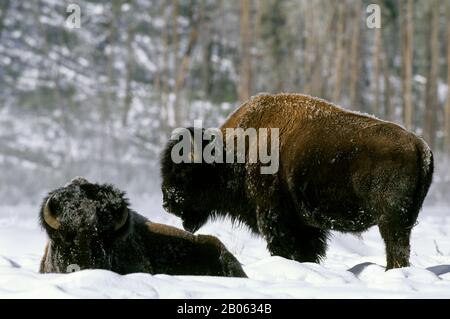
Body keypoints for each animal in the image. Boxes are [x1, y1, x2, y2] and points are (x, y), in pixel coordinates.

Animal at [162, 94, 432, 272]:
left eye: (183, 171)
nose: (166, 202)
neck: (233, 154)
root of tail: (419, 146)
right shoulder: (306, 226)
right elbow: (309, 253)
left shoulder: (276, 219)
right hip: (402, 221)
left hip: (391, 222)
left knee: (395, 249)